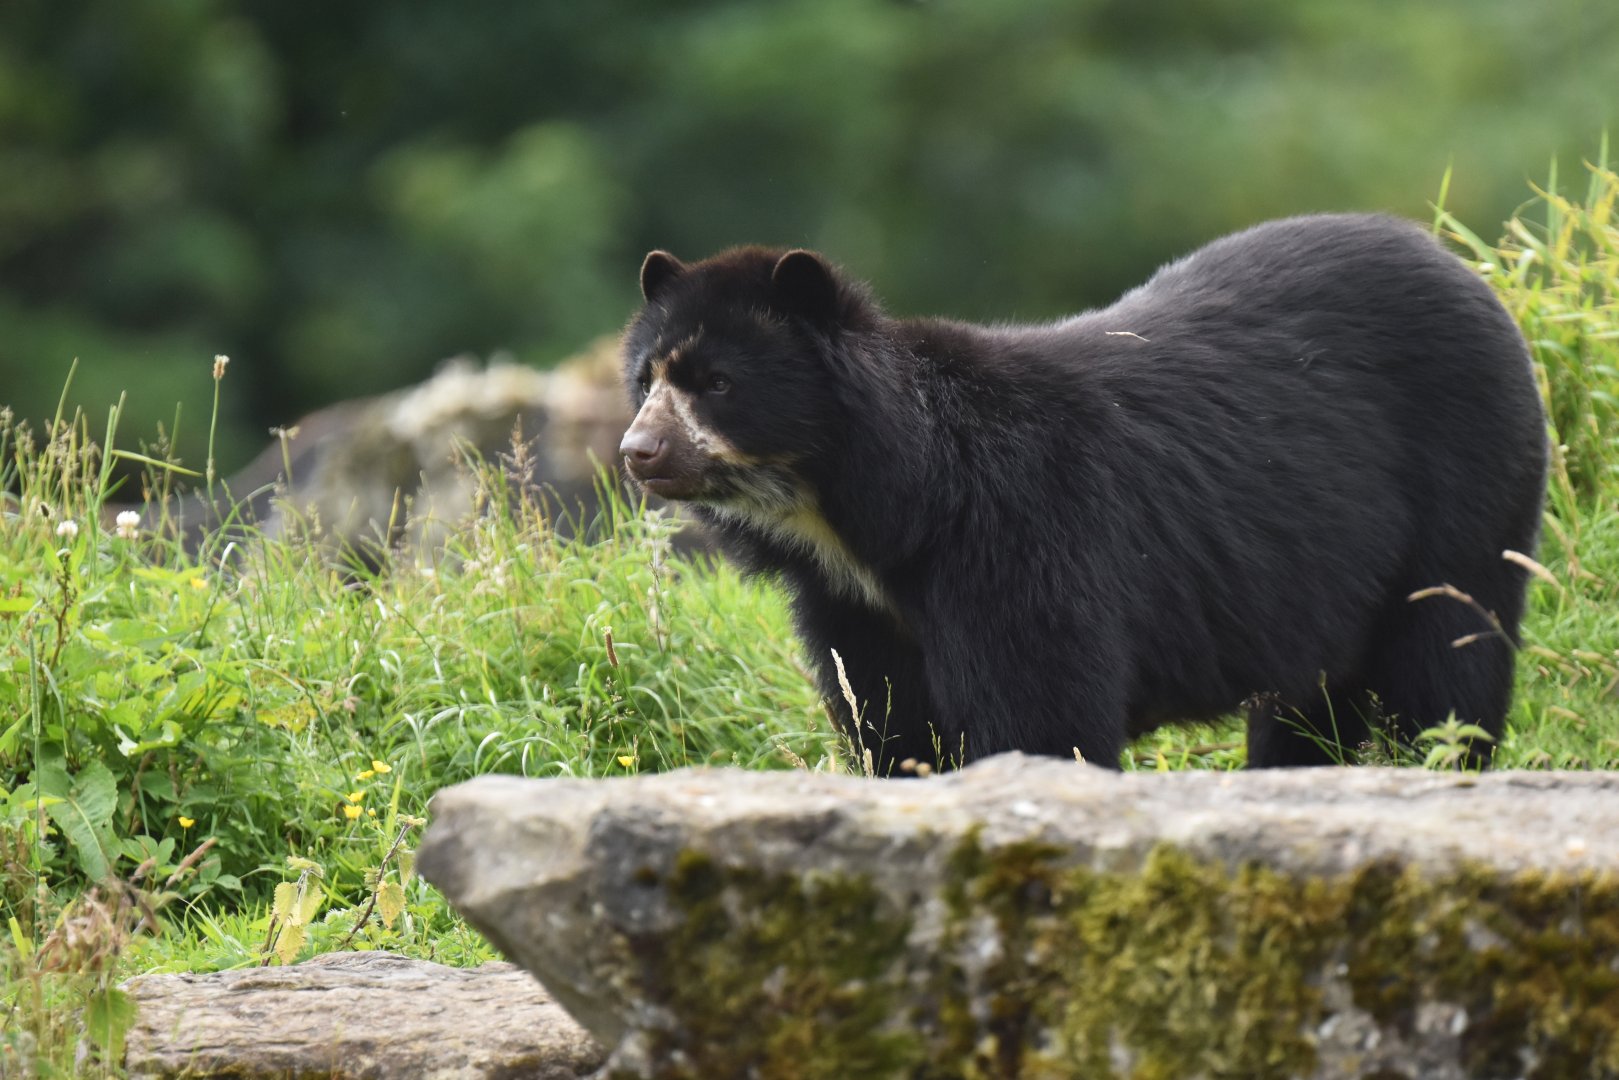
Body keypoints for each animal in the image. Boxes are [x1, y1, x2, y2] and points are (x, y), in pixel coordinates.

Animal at [617, 214, 1548, 772]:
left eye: (717, 383)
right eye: (645, 380)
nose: (638, 453)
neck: (859, 519)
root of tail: (1464, 271)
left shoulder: (1022, 541)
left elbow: (1043, 718)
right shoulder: (855, 610)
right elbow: (895, 731)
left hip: (1464, 489)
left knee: (1446, 659)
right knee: (1312, 705)